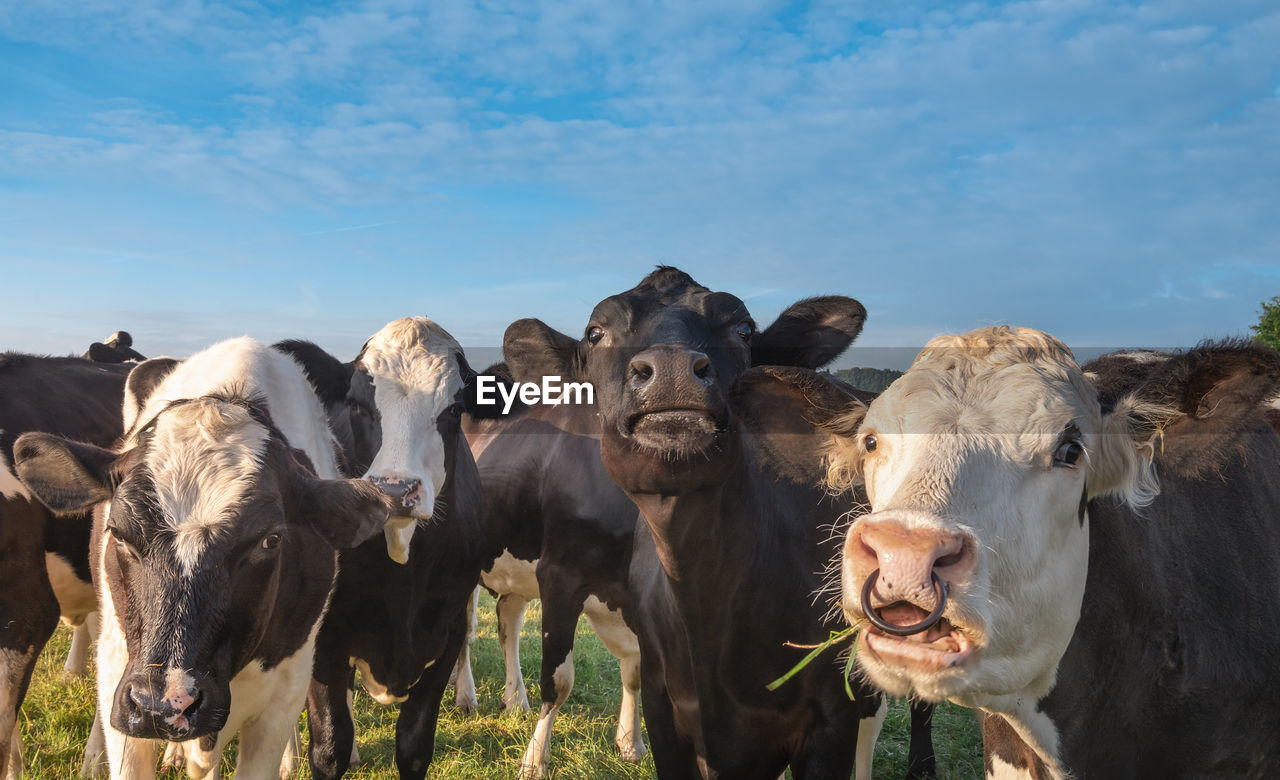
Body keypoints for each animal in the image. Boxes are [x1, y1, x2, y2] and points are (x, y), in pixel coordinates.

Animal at [282, 316, 486, 778]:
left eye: (454, 410)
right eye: (357, 404)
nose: (395, 489)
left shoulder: (447, 633)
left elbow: (413, 747)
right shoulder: (325, 640)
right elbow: (330, 747)